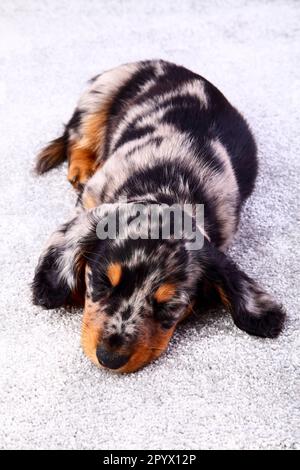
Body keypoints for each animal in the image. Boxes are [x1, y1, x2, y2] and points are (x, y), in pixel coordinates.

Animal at [31, 60, 284, 372]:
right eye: (101, 282)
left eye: (170, 306)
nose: (109, 359)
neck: (168, 185)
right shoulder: (91, 201)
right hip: (98, 97)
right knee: (77, 138)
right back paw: (81, 167)